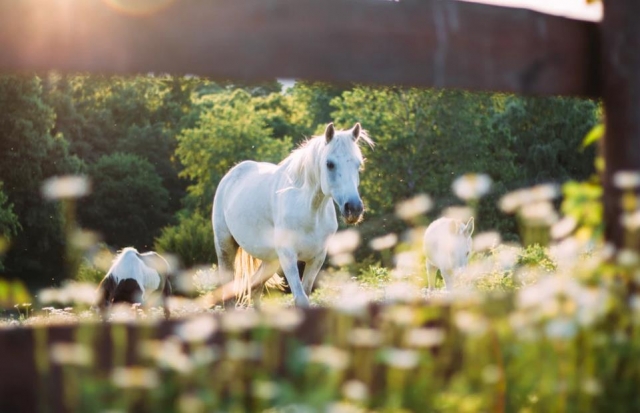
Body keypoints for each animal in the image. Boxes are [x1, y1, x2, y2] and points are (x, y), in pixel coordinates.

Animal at [208, 121, 372, 306]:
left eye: (358, 164)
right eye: (330, 164)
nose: (354, 208)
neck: (310, 213)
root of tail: (231, 175)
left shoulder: (316, 259)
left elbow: (305, 294)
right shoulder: (288, 257)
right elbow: (301, 299)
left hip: (270, 261)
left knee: (255, 287)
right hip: (225, 247)